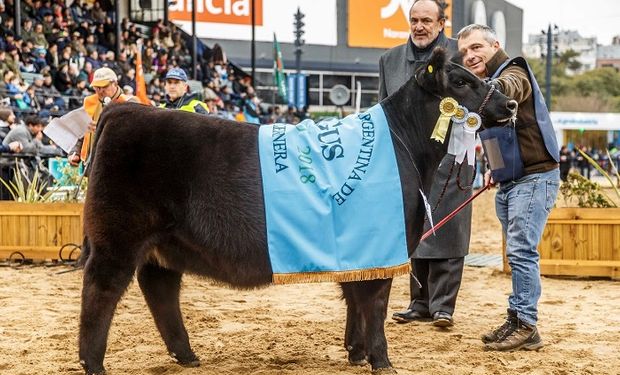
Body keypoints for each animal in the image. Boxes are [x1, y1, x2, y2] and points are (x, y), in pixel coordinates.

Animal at [80, 47, 516, 375]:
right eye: (461, 82)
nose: (510, 101)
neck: (403, 146)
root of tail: (123, 111)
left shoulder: (357, 248)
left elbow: (354, 297)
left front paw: (355, 351)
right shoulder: (382, 242)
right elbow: (374, 302)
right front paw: (381, 360)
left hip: (166, 241)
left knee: (159, 288)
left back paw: (185, 354)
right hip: (118, 235)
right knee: (103, 288)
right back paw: (93, 362)